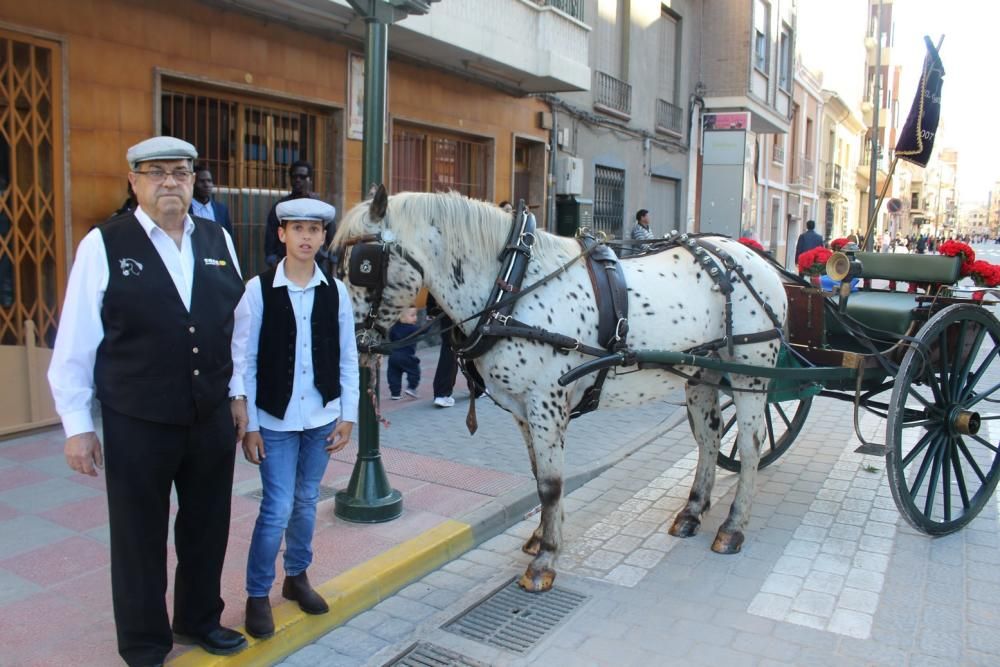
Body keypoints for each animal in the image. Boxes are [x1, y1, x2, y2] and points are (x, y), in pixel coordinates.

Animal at [336, 185, 788, 592]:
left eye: (362, 266)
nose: (352, 345)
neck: (512, 284)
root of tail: (754, 257)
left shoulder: (546, 402)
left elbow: (551, 483)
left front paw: (546, 559)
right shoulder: (522, 409)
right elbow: (539, 474)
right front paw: (540, 538)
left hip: (749, 375)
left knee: (750, 445)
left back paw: (733, 526)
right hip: (701, 375)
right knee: (709, 438)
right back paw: (693, 511)